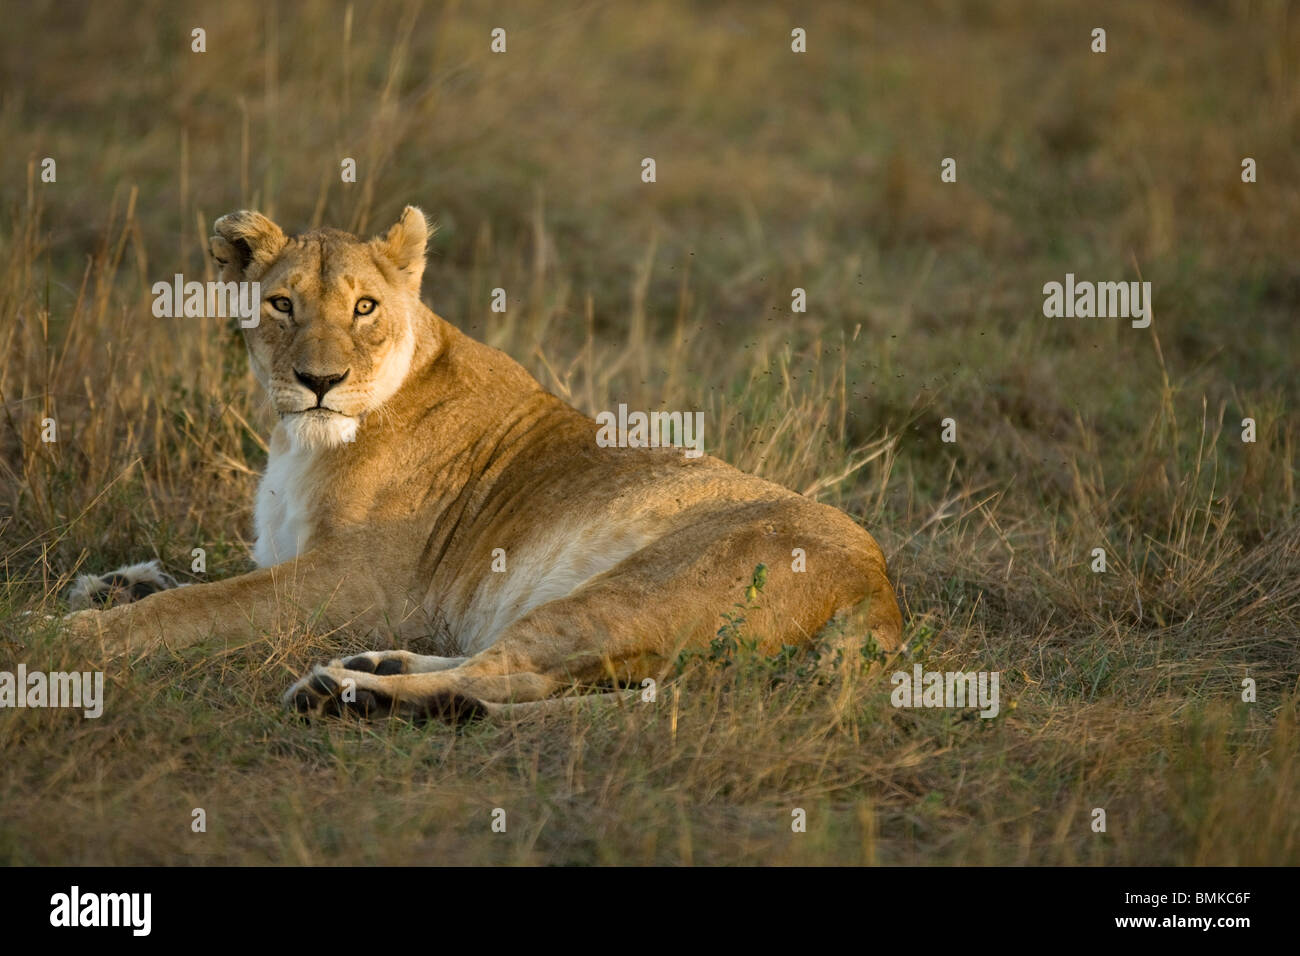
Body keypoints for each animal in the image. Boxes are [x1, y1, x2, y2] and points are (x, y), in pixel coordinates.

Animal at [63, 206, 903, 722]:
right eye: (280, 305)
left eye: (364, 307)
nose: (319, 382)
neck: (300, 442)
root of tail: (882, 593)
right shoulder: (292, 560)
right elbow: (193, 581)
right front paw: (112, 584)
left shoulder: (358, 584)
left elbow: (198, 607)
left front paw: (74, 634)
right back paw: (381, 671)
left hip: (629, 592)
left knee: (514, 673)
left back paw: (351, 692)